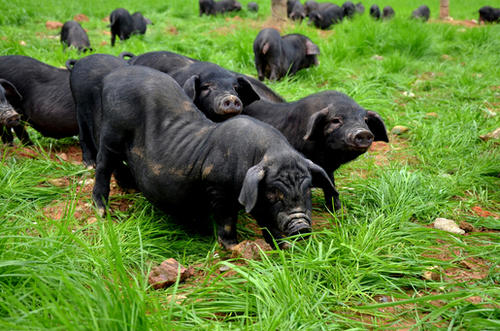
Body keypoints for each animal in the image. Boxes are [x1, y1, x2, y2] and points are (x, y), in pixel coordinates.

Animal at [92, 65, 338, 249]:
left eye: (307, 189)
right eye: (273, 193)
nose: (301, 225)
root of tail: (112, 77)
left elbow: (267, 222)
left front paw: (283, 246)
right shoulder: (217, 188)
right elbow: (227, 220)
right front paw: (233, 247)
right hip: (111, 132)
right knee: (103, 166)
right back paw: (104, 211)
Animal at [243, 91, 390, 210]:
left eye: (365, 120)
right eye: (336, 120)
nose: (363, 132)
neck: (324, 156)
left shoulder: (327, 169)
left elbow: (331, 184)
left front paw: (338, 210)